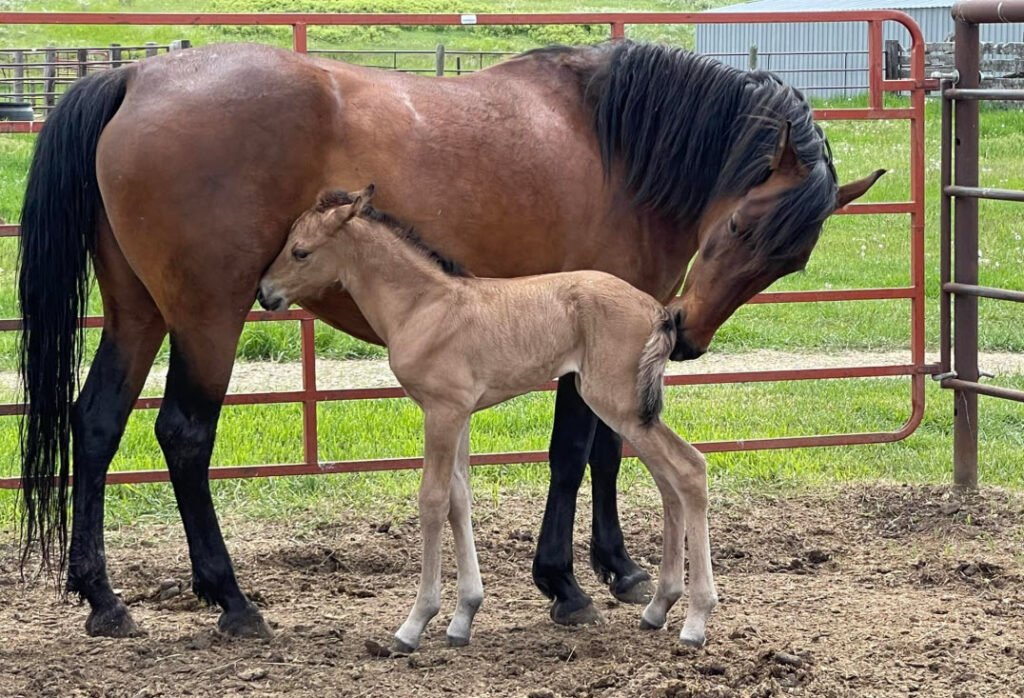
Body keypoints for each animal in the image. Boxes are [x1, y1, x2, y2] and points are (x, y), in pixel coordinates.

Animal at [258, 184, 717, 650]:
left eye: (300, 251)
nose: (265, 293)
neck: (422, 306)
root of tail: (658, 311)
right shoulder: (459, 414)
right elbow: (460, 498)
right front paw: (463, 617)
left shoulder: (441, 412)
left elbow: (432, 501)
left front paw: (415, 623)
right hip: (632, 412)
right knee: (670, 481)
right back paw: (659, 606)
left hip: (615, 403)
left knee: (688, 468)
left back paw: (696, 620)